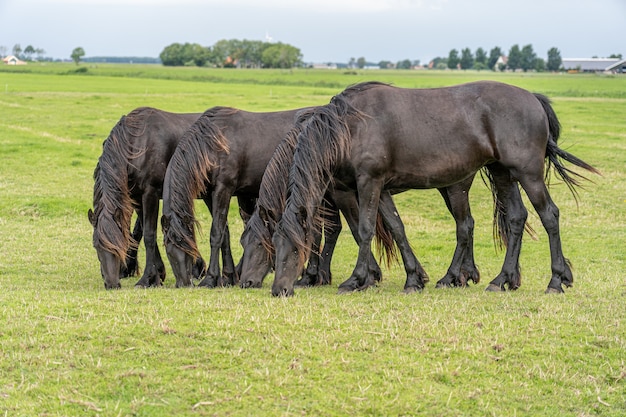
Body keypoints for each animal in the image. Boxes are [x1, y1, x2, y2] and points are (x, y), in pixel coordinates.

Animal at [86, 107, 235, 290]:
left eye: (118, 243)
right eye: (95, 245)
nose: (112, 284)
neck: (137, 144)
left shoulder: (150, 193)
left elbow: (149, 235)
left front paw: (148, 278)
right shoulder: (137, 197)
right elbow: (143, 230)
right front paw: (159, 273)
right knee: (224, 229)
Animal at [270, 80, 596, 296]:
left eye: (296, 248)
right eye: (275, 246)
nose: (279, 290)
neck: (351, 126)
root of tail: (533, 98)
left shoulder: (368, 182)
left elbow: (365, 229)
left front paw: (356, 279)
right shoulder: (382, 188)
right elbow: (397, 229)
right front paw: (414, 279)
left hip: (527, 174)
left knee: (549, 215)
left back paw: (556, 281)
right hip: (502, 173)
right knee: (516, 219)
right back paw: (499, 280)